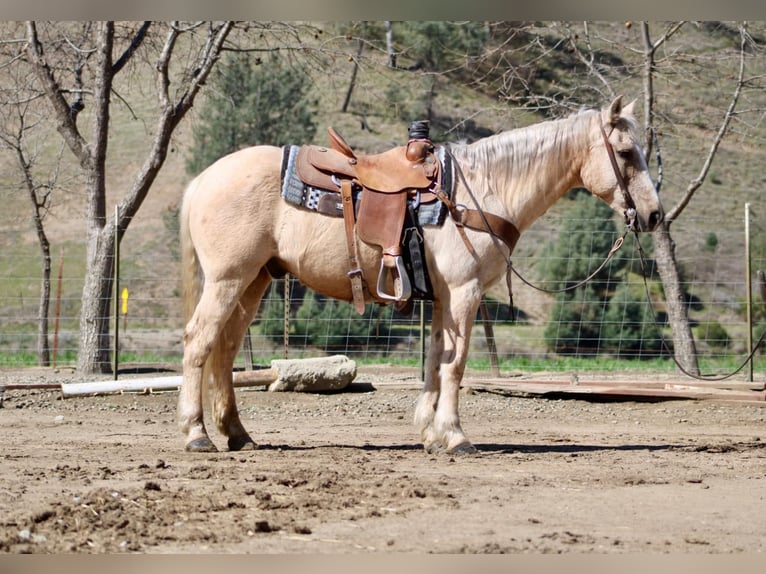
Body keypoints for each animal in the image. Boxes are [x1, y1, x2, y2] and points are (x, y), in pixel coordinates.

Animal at [177, 95, 663, 454]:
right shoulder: (465, 292)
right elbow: (456, 363)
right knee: (199, 342)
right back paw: (197, 434)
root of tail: (202, 179)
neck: (483, 189)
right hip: (228, 279)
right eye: (625, 153)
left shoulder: (445, 298)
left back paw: (237, 434)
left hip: (254, 281)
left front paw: (431, 434)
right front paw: (456, 436)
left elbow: (435, 360)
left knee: (225, 348)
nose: (654, 215)